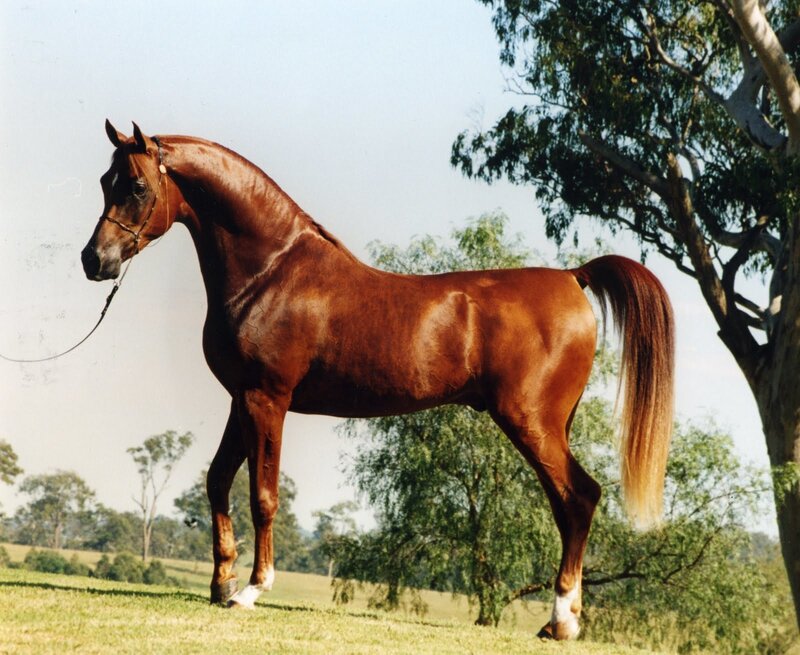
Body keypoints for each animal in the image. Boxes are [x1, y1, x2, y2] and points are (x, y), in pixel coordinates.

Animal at [81, 121, 674, 640]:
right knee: (569, 505)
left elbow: (263, 495)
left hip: (530, 421)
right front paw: (221, 583)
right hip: (548, 424)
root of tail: (573, 277)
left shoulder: (268, 399)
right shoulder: (240, 400)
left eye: (136, 185)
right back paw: (560, 619)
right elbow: (218, 481)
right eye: (105, 181)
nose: (94, 260)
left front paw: (251, 590)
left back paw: (562, 622)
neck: (272, 271)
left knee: (579, 498)